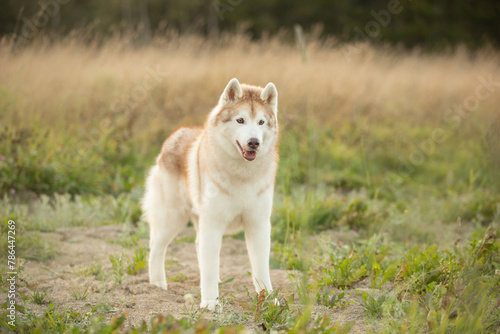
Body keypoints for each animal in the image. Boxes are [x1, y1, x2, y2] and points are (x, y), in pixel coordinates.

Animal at [143, 77, 280, 310]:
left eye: (261, 122)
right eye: (240, 120)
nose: (254, 142)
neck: (242, 174)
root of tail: (175, 134)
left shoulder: (258, 224)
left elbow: (261, 267)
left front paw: (268, 299)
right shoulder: (213, 222)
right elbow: (208, 266)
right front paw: (209, 304)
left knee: (199, 247)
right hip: (172, 220)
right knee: (156, 249)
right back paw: (157, 286)